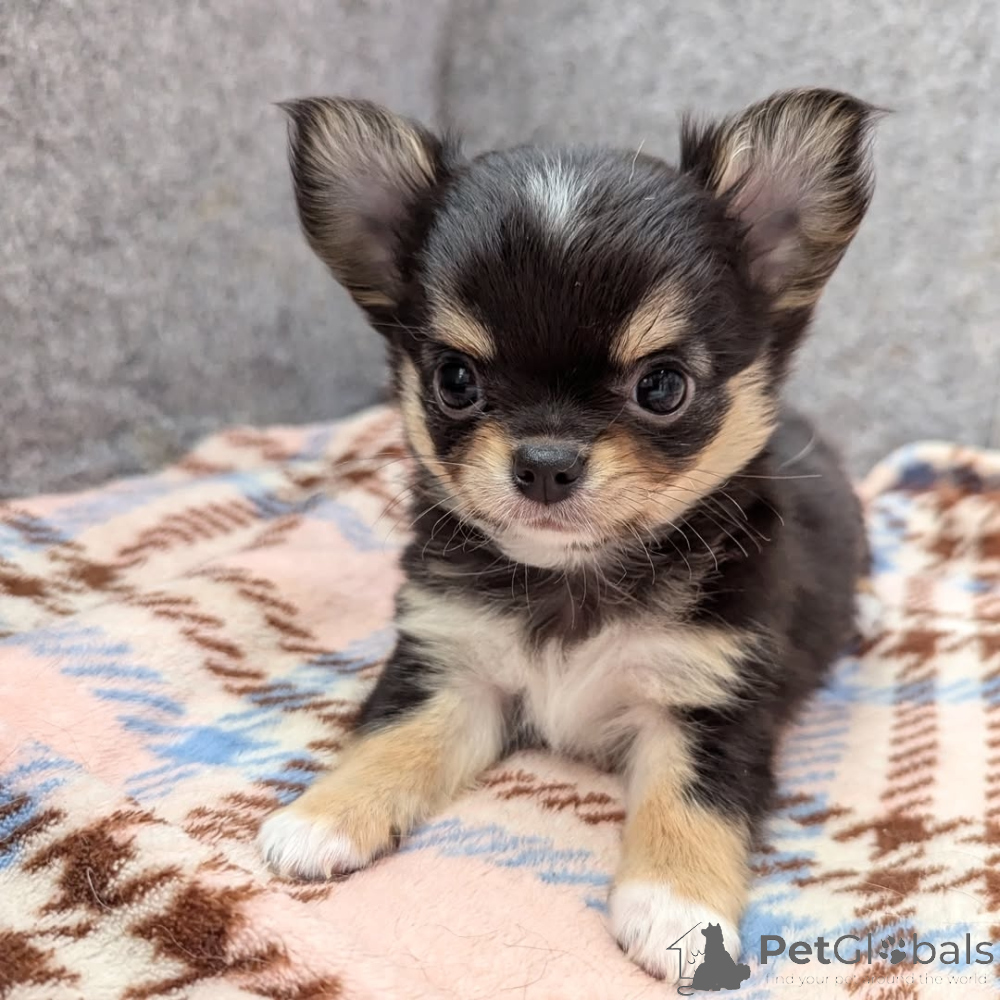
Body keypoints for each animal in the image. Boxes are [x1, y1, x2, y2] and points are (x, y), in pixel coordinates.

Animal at [258, 88, 877, 982]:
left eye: (662, 386)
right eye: (455, 379)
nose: (546, 463)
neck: (572, 576)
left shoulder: (711, 700)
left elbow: (692, 800)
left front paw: (675, 907)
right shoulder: (453, 667)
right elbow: (394, 736)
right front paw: (325, 813)